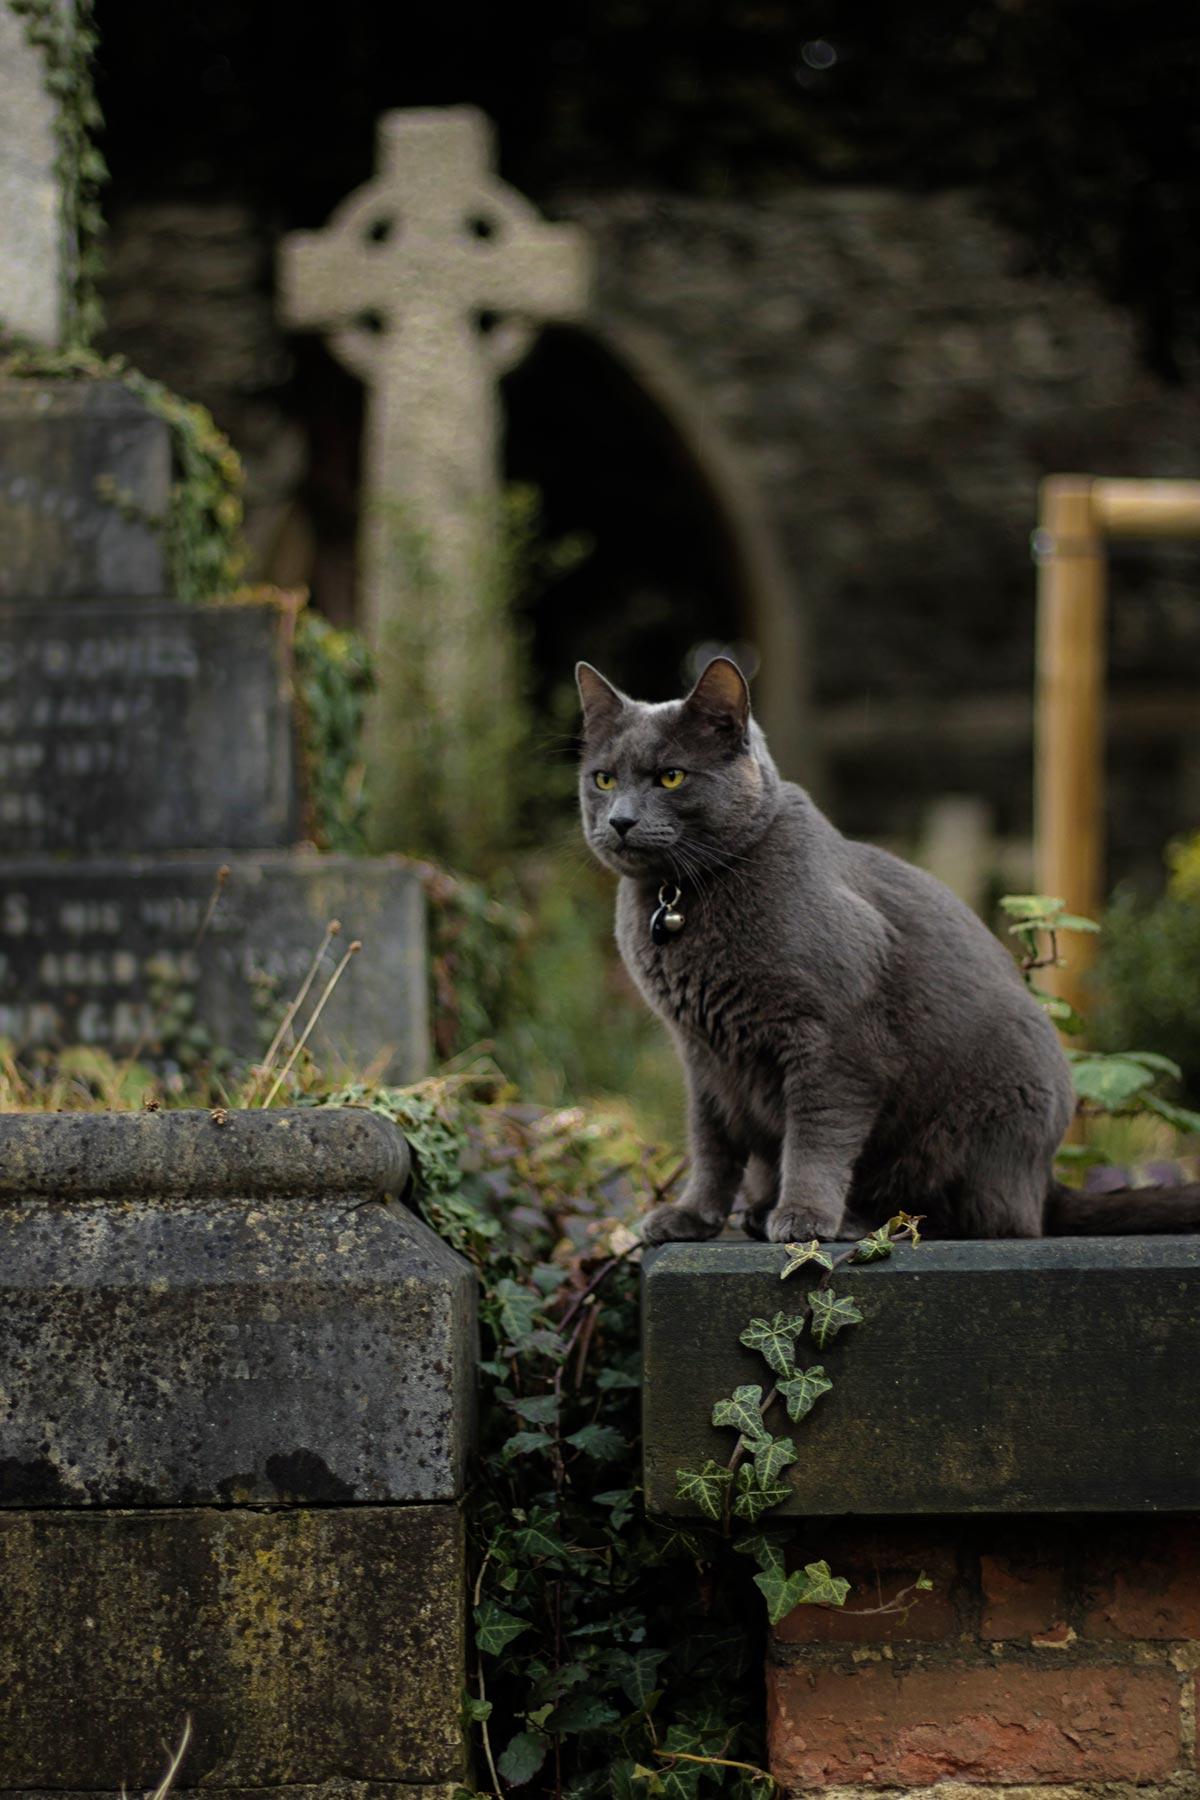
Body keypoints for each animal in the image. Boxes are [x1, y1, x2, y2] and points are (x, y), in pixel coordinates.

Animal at [579, 658, 1200, 1238]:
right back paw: (757, 1212)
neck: (679, 896)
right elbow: (711, 1142)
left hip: (987, 1119)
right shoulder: (702, 1055)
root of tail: (1045, 1182)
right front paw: (692, 1215)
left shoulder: (834, 1042)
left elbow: (816, 1136)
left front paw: (804, 1217)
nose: (621, 820)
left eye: (671, 777)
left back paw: (852, 1220)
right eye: (604, 780)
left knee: (980, 1219)